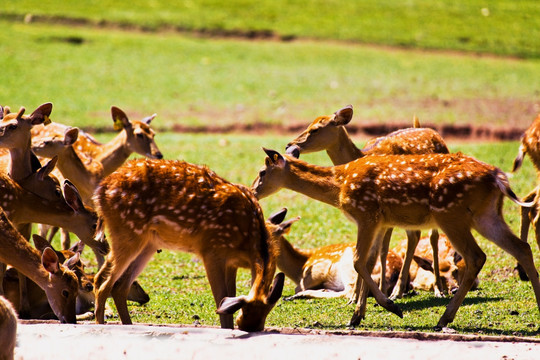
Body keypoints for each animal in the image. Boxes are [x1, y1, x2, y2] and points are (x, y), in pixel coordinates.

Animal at [93, 159, 286, 334]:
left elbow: (229, 296)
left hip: (148, 243)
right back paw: (101, 325)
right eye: (244, 316)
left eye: (262, 320)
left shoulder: (232, 263)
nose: (247, 327)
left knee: (118, 286)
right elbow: (221, 302)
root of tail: (100, 193)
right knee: (102, 283)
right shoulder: (211, 251)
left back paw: (128, 325)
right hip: (126, 232)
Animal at [286, 105, 452, 300]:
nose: (289, 144)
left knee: (432, 237)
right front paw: (363, 295)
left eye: (316, 129)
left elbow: (380, 250)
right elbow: (378, 251)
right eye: (308, 124)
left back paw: (437, 289)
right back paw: (398, 291)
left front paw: (365, 295)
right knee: (414, 236)